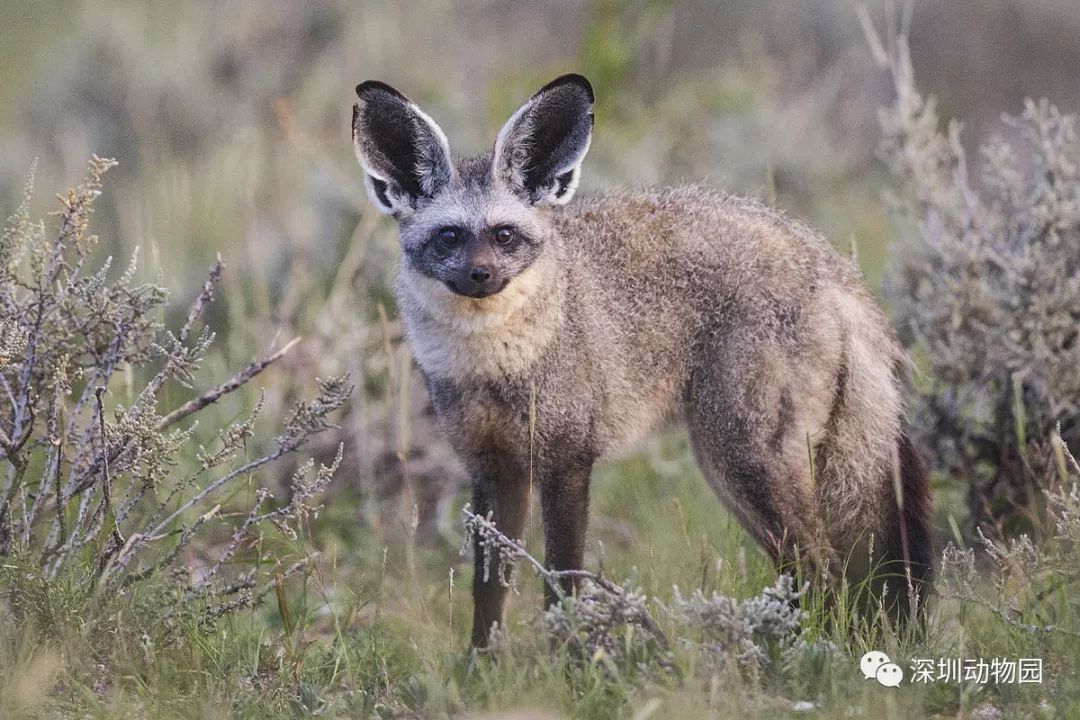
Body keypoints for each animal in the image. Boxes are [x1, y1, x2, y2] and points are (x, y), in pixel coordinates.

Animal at [349, 73, 933, 647]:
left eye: (504, 235)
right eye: (449, 236)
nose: (481, 275)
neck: (494, 366)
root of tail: (828, 262)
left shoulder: (567, 462)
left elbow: (562, 585)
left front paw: (569, 661)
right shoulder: (495, 470)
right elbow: (488, 596)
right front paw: (482, 667)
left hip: (744, 461)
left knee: (823, 569)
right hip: (736, 474)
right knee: (808, 574)